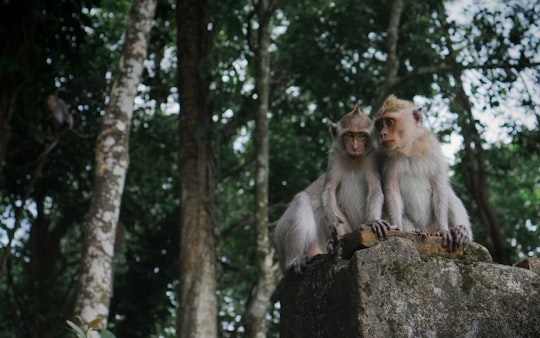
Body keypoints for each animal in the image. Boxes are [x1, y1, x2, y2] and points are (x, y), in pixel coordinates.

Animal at [276, 104, 390, 274]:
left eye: (362, 136)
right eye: (349, 135)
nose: (355, 147)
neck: (353, 160)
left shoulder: (372, 158)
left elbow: (375, 188)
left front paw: (373, 221)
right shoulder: (334, 157)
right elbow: (328, 190)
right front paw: (332, 222)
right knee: (302, 200)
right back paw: (298, 258)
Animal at [374, 95, 470, 251]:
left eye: (389, 122)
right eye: (379, 125)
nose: (382, 134)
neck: (409, 149)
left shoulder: (433, 149)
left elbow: (439, 187)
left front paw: (444, 230)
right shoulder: (387, 159)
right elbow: (391, 190)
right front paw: (397, 226)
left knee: (448, 194)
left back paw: (461, 231)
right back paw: (418, 231)